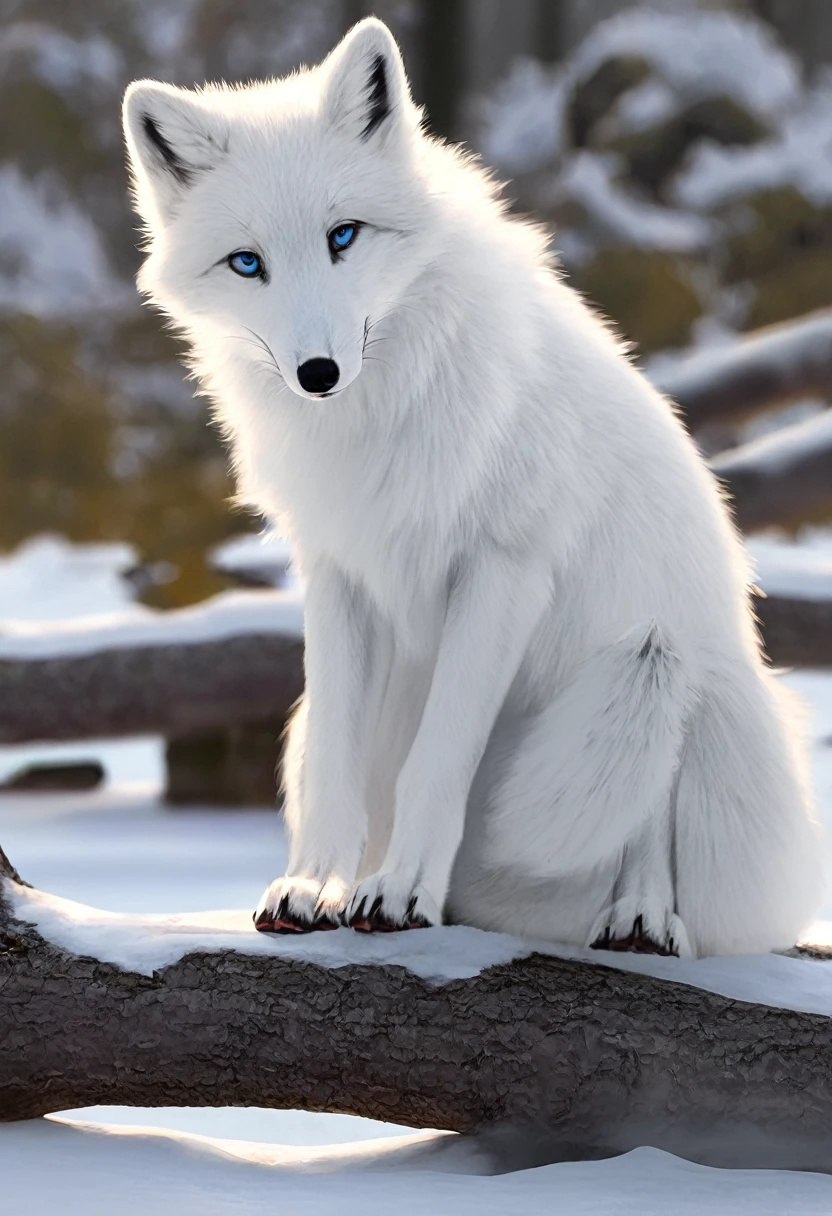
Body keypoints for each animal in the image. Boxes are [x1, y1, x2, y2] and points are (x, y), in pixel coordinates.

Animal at [121, 14, 817, 953]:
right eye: (247, 263)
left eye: (344, 236)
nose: (316, 373)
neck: (379, 420)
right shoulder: (338, 576)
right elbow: (338, 771)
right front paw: (315, 886)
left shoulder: (501, 571)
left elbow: (438, 762)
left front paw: (403, 893)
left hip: (676, 669)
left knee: (651, 820)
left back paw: (638, 913)